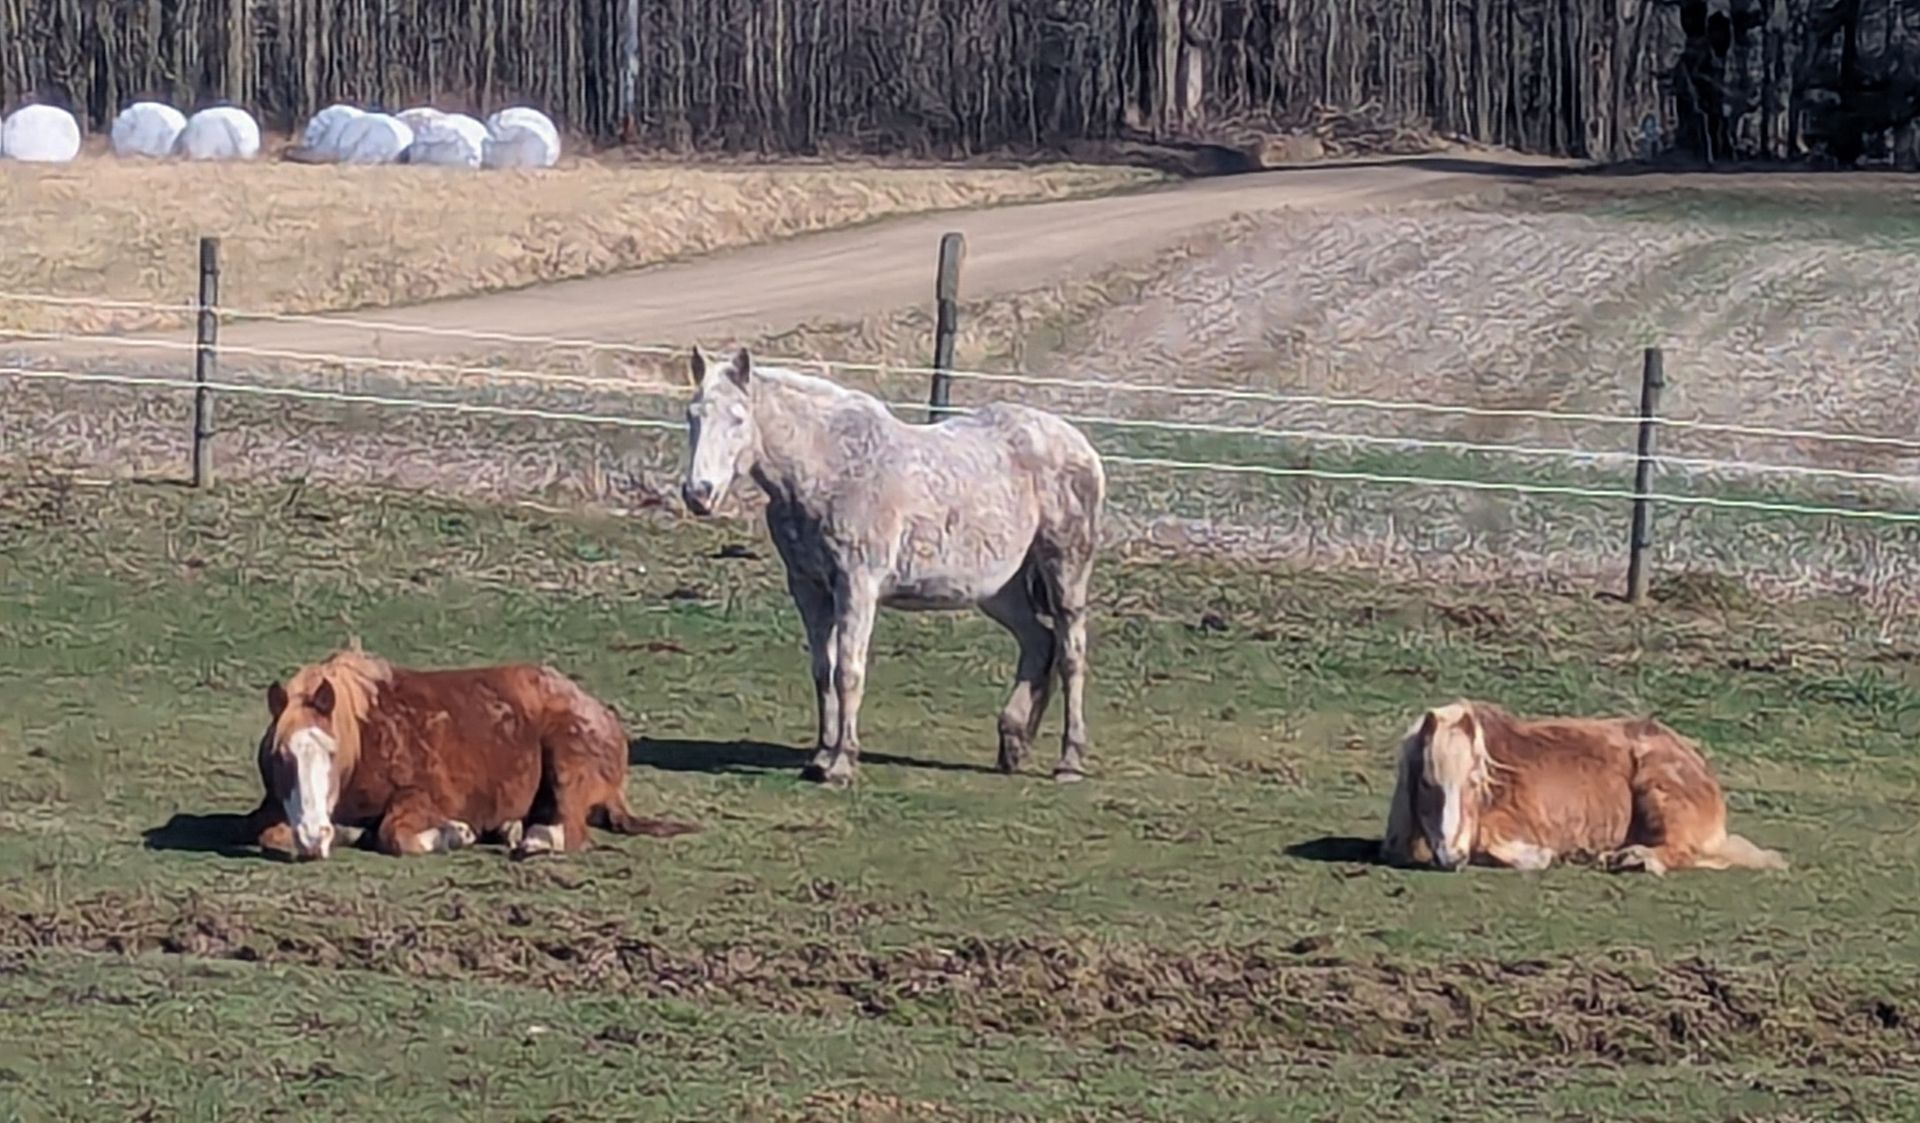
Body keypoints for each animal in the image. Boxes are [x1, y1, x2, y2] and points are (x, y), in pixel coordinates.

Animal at [242, 646, 698, 860]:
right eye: (281, 757)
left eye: (332, 753)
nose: (312, 835)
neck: (364, 740)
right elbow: (265, 832)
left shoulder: (421, 796)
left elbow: (395, 835)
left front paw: (454, 833)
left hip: (569, 764)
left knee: (571, 832)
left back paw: (531, 840)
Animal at [679, 346, 1106, 786]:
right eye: (692, 414)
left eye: (737, 418)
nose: (698, 494)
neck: (830, 467)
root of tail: (1080, 445)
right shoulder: (808, 588)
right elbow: (822, 669)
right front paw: (820, 757)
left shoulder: (857, 585)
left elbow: (848, 671)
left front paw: (842, 763)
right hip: (998, 589)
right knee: (1039, 641)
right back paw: (1014, 742)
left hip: (1065, 569)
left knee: (1071, 654)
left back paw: (1069, 760)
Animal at [1380, 699, 1788, 875]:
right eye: (1427, 782)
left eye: (1474, 783)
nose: (1452, 856)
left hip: (1659, 792)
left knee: (1680, 851)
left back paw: (1633, 859)